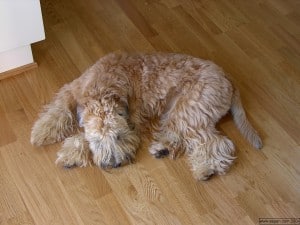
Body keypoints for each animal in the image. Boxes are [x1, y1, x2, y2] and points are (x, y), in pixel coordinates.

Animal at [29, 51, 262, 180]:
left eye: (119, 137)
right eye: (98, 141)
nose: (114, 164)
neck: (102, 88)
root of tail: (228, 77)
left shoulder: (134, 122)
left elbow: (79, 134)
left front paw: (72, 151)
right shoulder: (72, 90)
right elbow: (58, 110)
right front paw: (42, 132)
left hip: (190, 109)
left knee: (215, 142)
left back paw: (206, 169)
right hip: (178, 111)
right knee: (179, 135)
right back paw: (163, 149)